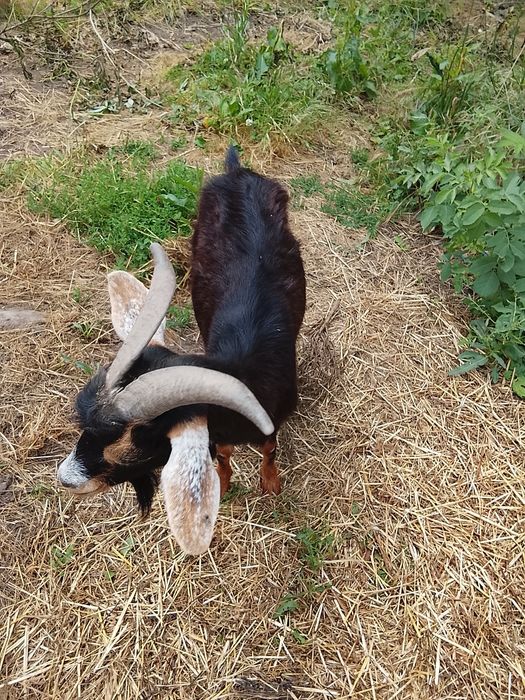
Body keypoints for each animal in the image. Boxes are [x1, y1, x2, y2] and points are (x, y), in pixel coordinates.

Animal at [57, 146, 306, 554]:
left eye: (134, 441)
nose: (65, 478)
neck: (247, 365)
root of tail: (236, 171)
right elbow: (223, 452)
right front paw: (225, 480)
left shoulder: (275, 410)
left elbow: (270, 447)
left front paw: (271, 484)